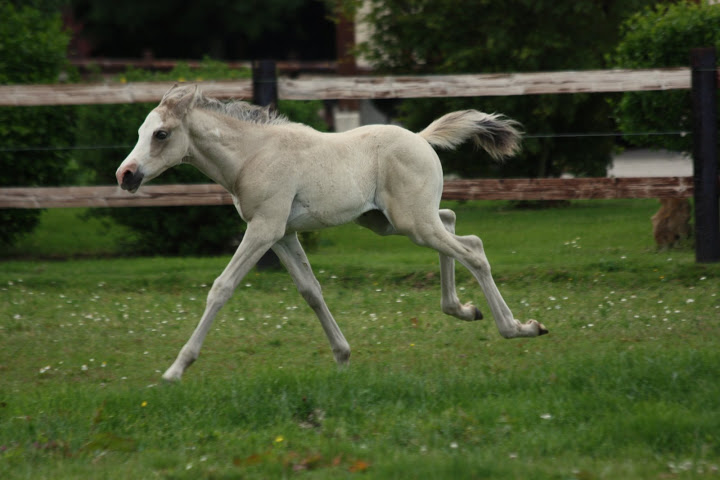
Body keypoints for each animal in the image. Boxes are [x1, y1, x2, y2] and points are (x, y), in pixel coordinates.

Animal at [116, 84, 544, 380]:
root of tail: (422, 139)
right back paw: (464, 310)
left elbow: (222, 288)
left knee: (473, 252)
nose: (126, 175)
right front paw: (342, 357)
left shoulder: (264, 228)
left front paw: (175, 369)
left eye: (161, 134)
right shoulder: (283, 235)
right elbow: (310, 291)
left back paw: (518, 328)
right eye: (140, 130)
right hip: (389, 221)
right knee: (458, 226)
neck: (251, 155)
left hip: (411, 223)